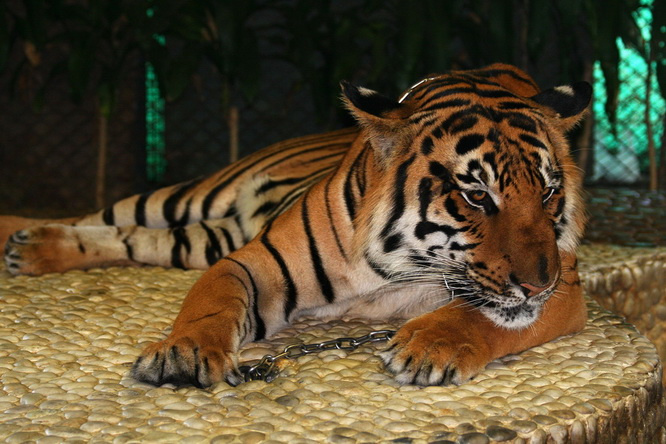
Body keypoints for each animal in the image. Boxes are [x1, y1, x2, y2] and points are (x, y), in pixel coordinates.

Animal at [1, 64, 591, 388]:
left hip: (197, 240)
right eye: (476, 196)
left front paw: (433, 345)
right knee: (97, 217)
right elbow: (209, 307)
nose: (537, 283)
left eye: (548, 192)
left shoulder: (568, 288)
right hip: (187, 198)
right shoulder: (249, 261)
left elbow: (481, 316)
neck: (406, 264)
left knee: (131, 239)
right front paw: (184, 354)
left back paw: (27, 250)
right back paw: (21, 237)